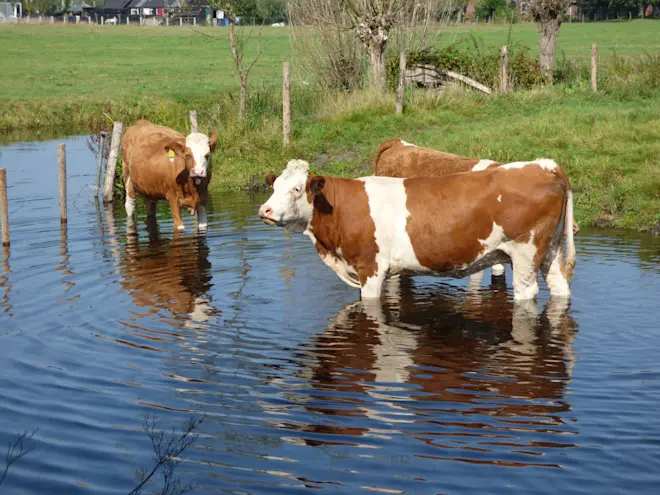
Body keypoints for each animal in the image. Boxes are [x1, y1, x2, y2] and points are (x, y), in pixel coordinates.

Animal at [260, 161, 576, 300]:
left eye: (296, 189)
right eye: (274, 187)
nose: (265, 210)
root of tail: (544, 165)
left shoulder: (371, 267)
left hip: (525, 252)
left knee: (526, 291)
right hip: (549, 250)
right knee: (560, 286)